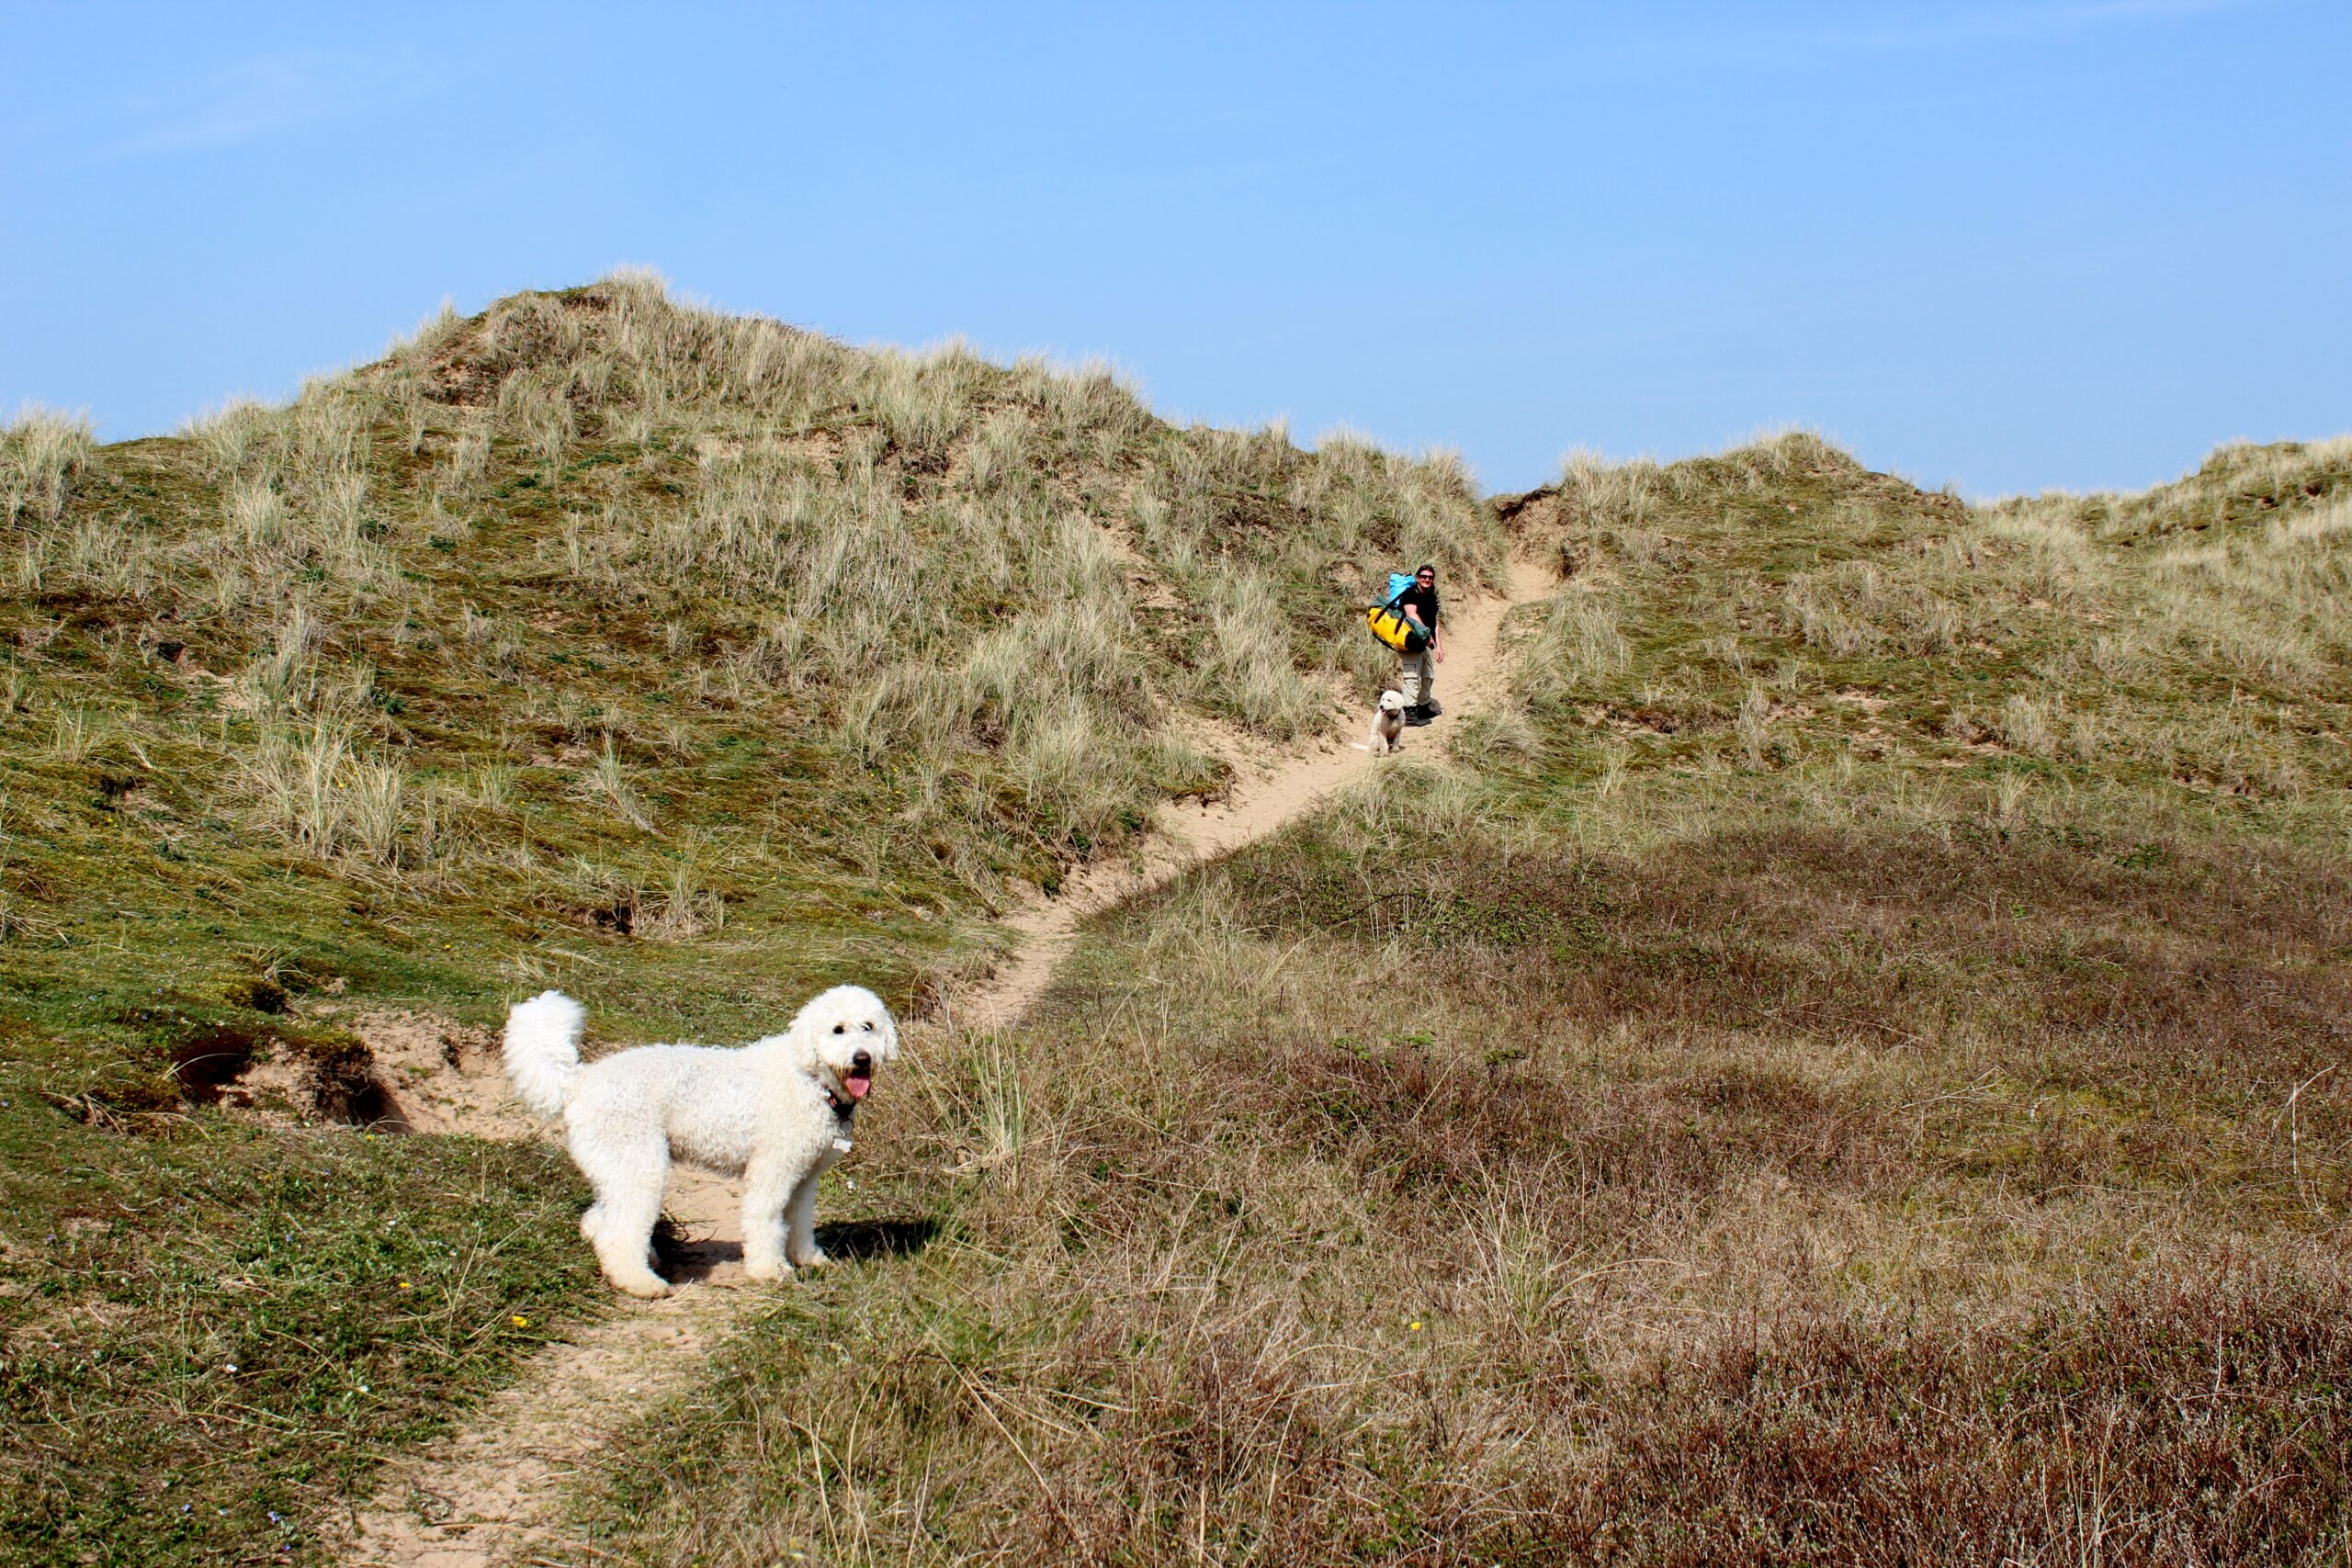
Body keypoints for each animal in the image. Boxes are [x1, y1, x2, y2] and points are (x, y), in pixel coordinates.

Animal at [501, 982, 893, 1297]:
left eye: (868, 1027)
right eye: (837, 1029)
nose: (862, 1059)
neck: (811, 1079)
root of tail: (579, 1081)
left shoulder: (804, 1179)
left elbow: (799, 1223)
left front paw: (808, 1259)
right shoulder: (772, 1172)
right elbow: (766, 1222)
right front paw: (770, 1270)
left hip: (616, 1168)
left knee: (599, 1221)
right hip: (640, 1166)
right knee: (616, 1232)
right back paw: (639, 1283)